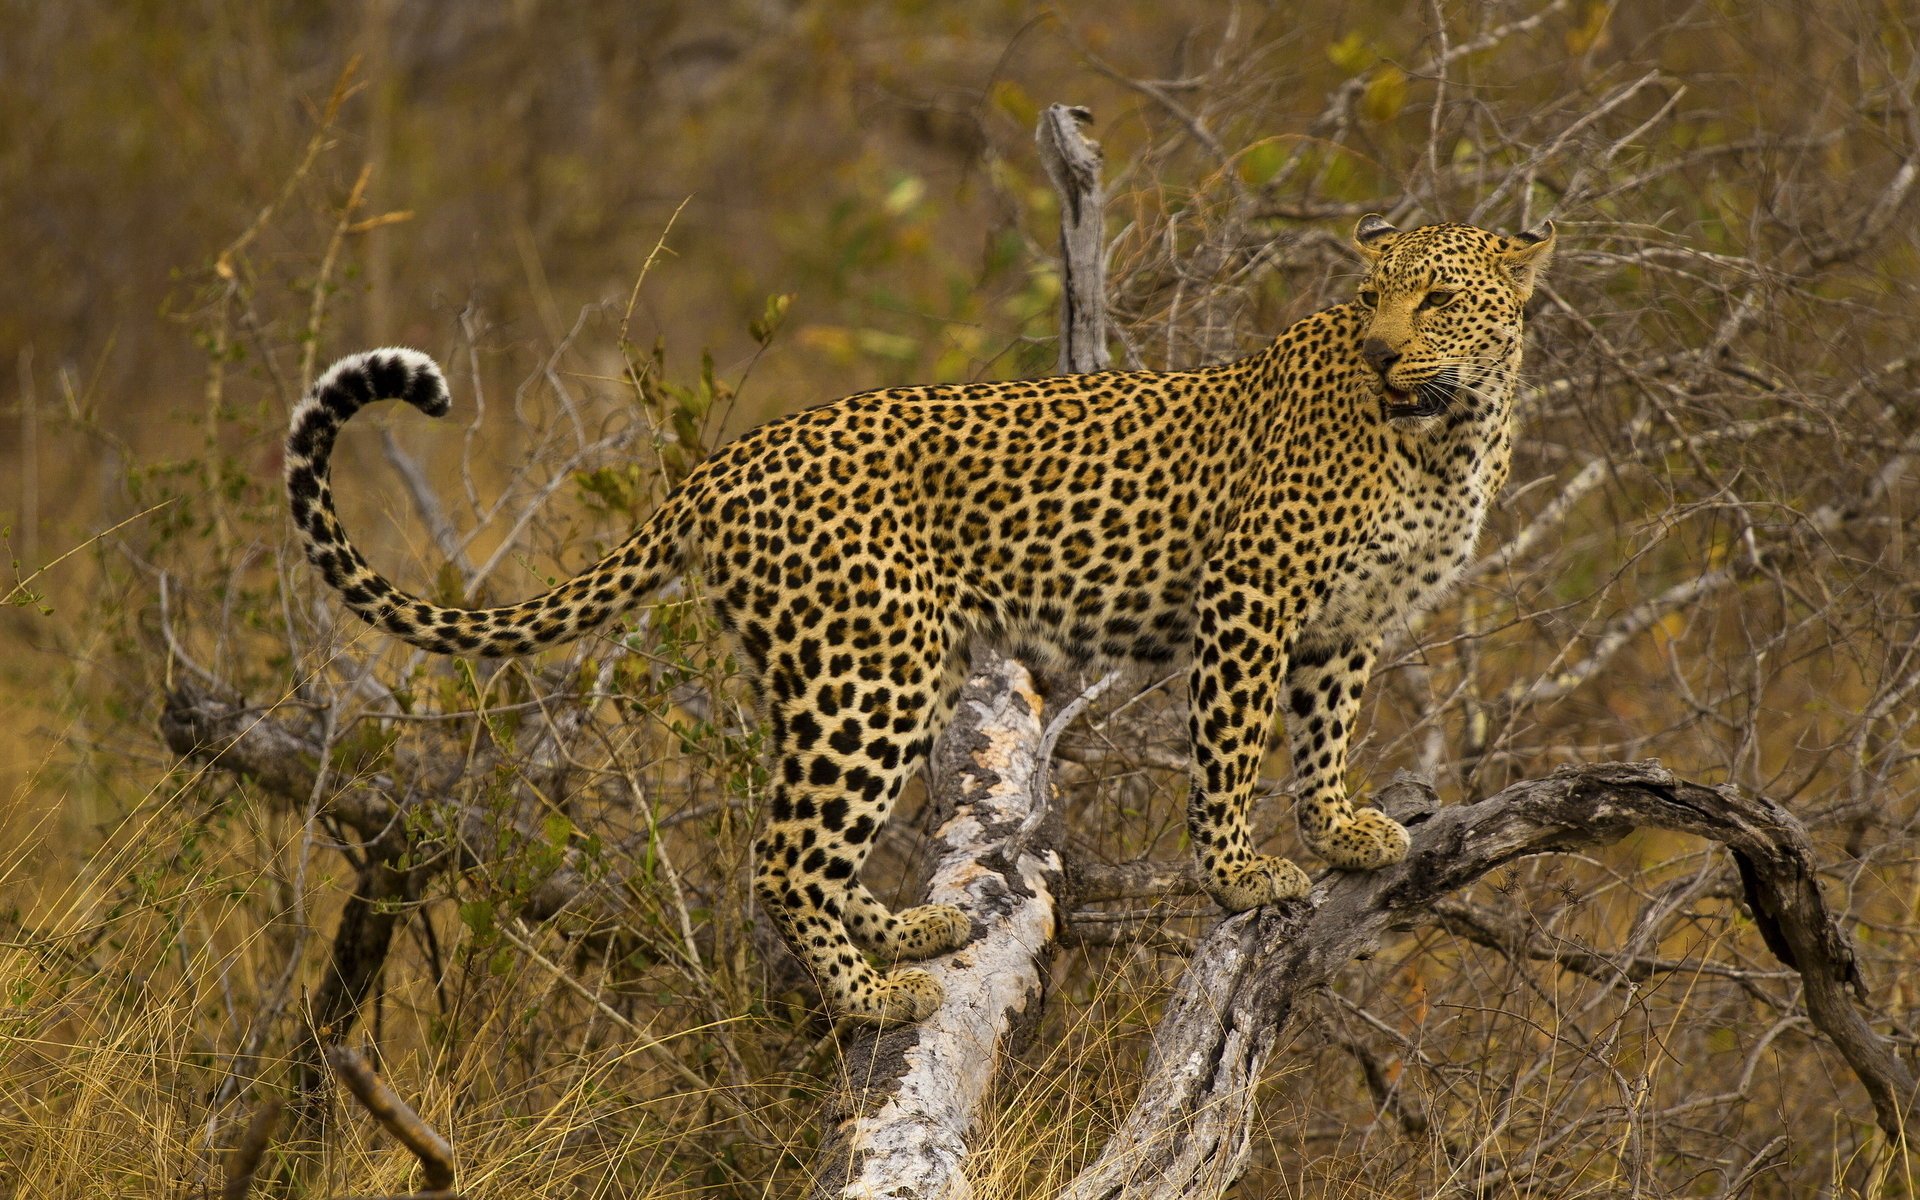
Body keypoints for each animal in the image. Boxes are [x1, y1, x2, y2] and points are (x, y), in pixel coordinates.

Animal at [284, 215, 1555, 1025]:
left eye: (1436, 298)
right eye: (1371, 299)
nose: (1384, 350)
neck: (1450, 430)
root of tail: (722, 466)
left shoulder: (1345, 621)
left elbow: (1325, 731)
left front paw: (1342, 828)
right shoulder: (1253, 595)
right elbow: (1235, 750)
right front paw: (1244, 875)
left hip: (852, 670)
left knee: (811, 839)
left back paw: (902, 938)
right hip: (873, 674)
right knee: (783, 854)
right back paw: (872, 996)